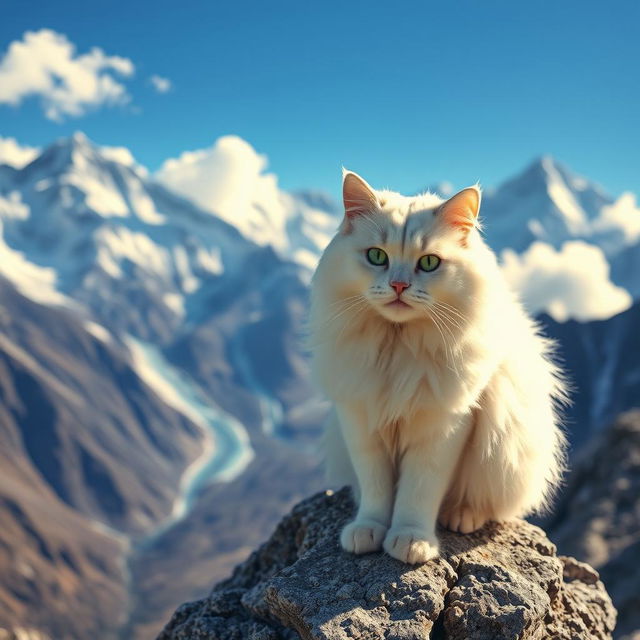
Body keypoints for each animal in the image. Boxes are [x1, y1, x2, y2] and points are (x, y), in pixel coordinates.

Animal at [308, 168, 568, 564]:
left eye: (429, 262)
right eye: (376, 256)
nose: (399, 285)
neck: (397, 347)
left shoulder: (443, 425)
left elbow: (419, 491)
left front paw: (411, 541)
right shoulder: (359, 419)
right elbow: (376, 487)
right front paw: (367, 530)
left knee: (486, 504)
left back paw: (461, 516)